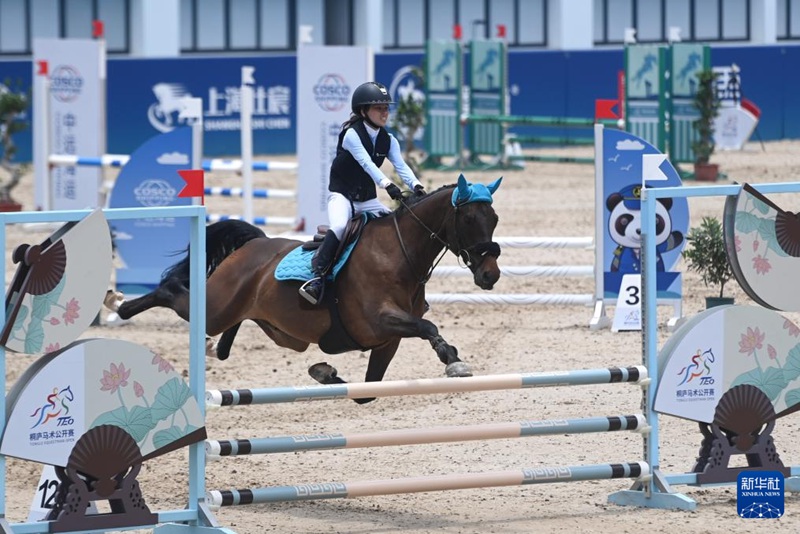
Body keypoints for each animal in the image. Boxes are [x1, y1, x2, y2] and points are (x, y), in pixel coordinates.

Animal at [108, 177, 500, 406]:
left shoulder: (386, 341)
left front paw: (324, 372)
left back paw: (212, 345)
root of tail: (254, 244)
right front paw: (452, 360)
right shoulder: (379, 320)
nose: (490, 275)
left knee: (225, 334)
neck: (399, 254)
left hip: (281, 331)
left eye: (494, 219)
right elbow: (427, 328)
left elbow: (366, 392)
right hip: (215, 308)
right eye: (469, 219)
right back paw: (119, 304)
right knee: (173, 291)